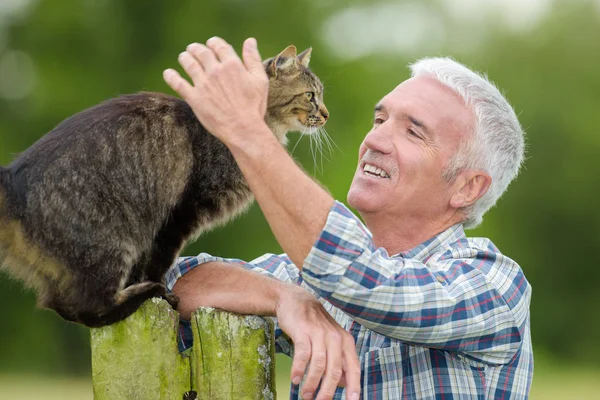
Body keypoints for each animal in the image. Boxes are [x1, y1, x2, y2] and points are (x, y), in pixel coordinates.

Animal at [0, 45, 328, 328]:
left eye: (320, 96)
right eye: (311, 95)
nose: (326, 115)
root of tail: (12, 179)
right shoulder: (183, 211)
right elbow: (159, 260)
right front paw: (158, 286)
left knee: (59, 304)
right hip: (110, 242)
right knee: (87, 308)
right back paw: (148, 293)